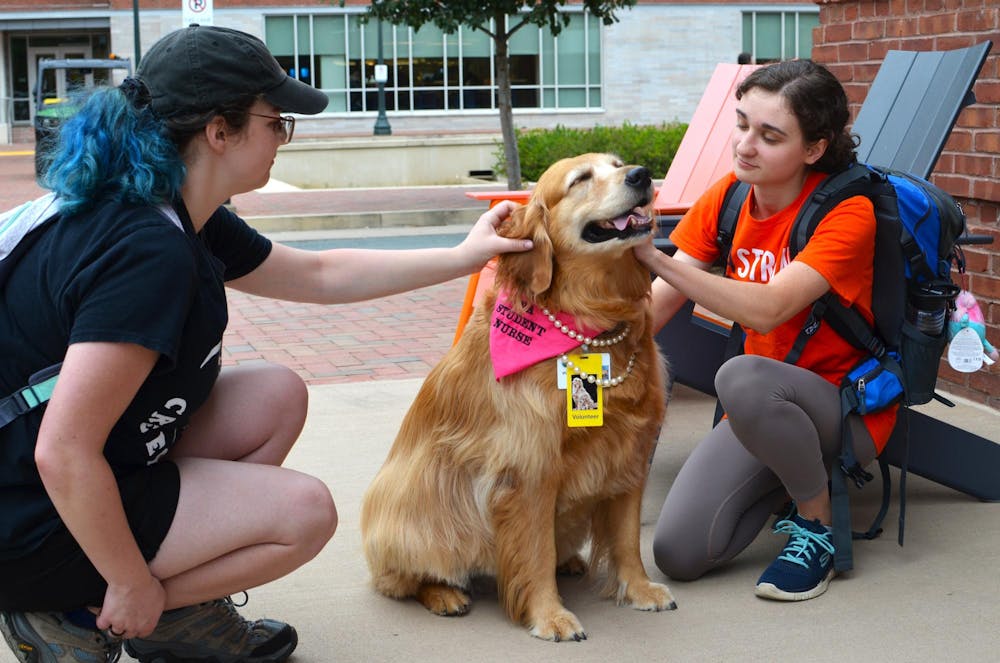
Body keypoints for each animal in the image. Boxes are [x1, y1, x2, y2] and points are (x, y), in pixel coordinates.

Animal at [360, 153, 672, 640]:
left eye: (618, 163)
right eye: (581, 179)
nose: (642, 176)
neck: (589, 320)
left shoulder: (629, 451)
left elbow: (627, 540)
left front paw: (639, 589)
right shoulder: (529, 466)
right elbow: (535, 553)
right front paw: (550, 615)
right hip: (416, 504)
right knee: (405, 579)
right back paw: (444, 593)